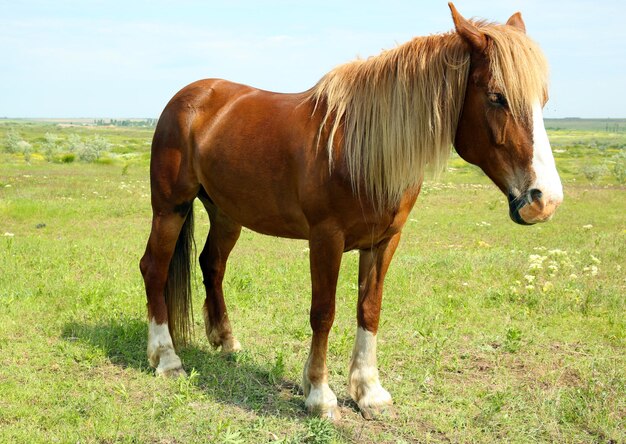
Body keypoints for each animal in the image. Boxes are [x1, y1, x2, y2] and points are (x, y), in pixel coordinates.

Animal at [140, 4, 560, 420]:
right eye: (497, 96)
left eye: (543, 100)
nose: (544, 200)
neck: (363, 149)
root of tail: (188, 97)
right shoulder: (326, 238)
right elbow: (323, 312)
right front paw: (319, 395)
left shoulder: (384, 241)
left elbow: (369, 309)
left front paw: (369, 392)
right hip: (170, 208)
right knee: (154, 268)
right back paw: (167, 358)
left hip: (227, 214)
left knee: (212, 265)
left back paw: (226, 341)